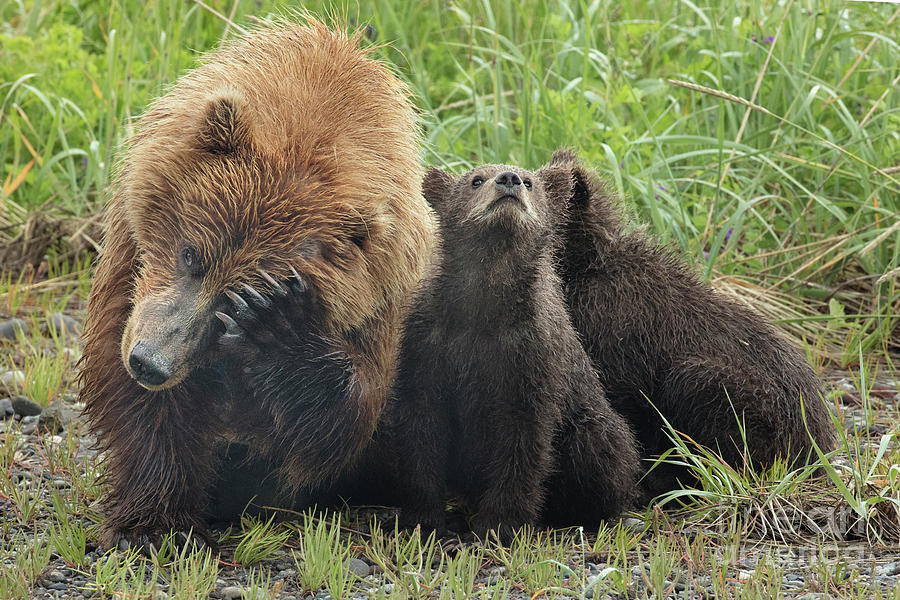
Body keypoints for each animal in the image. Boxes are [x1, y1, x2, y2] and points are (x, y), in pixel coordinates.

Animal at [79, 19, 438, 548]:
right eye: (191, 253)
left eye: (231, 299)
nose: (150, 362)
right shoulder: (130, 263)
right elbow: (136, 395)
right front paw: (154, 524)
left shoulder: (377, 301)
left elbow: (343, 417)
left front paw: (280, 326)